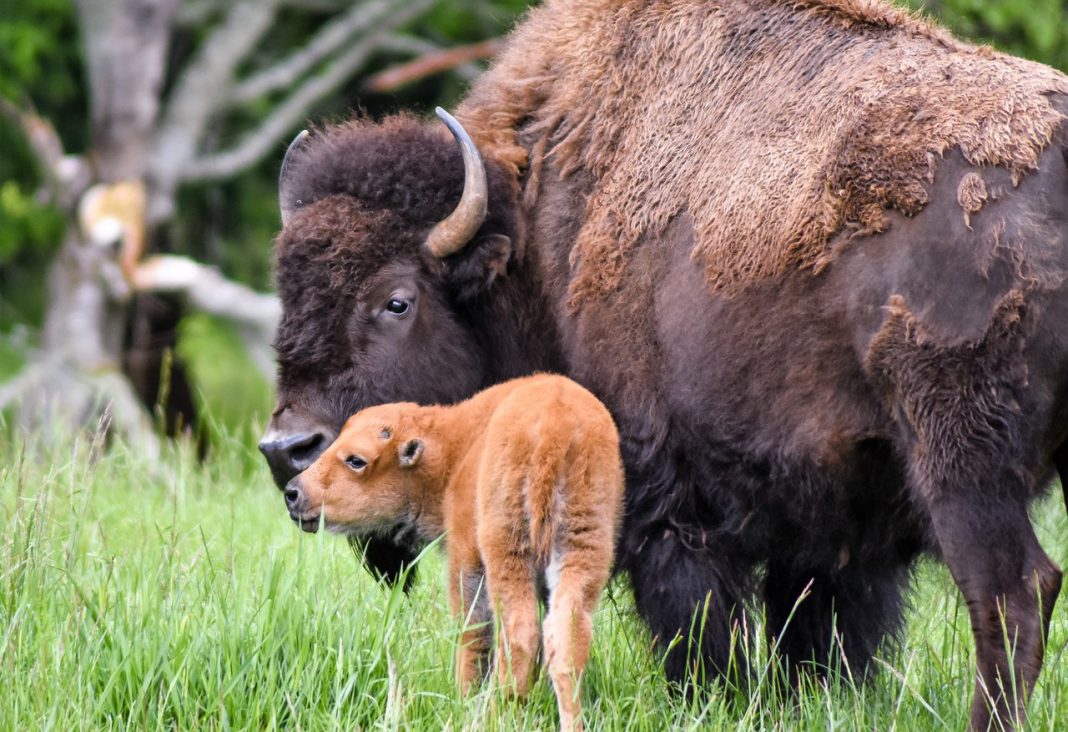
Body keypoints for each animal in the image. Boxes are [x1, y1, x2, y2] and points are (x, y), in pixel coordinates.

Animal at [284, 374, 623, 726]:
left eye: (356, 459)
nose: (293, 493)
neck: (454, 450)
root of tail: (556, 431)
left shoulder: (465, 558)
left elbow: (473, 631)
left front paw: (464, 698)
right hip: (583, 545)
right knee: (568, 635)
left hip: (507, 547)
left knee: (519, 632)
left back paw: (497, 714)